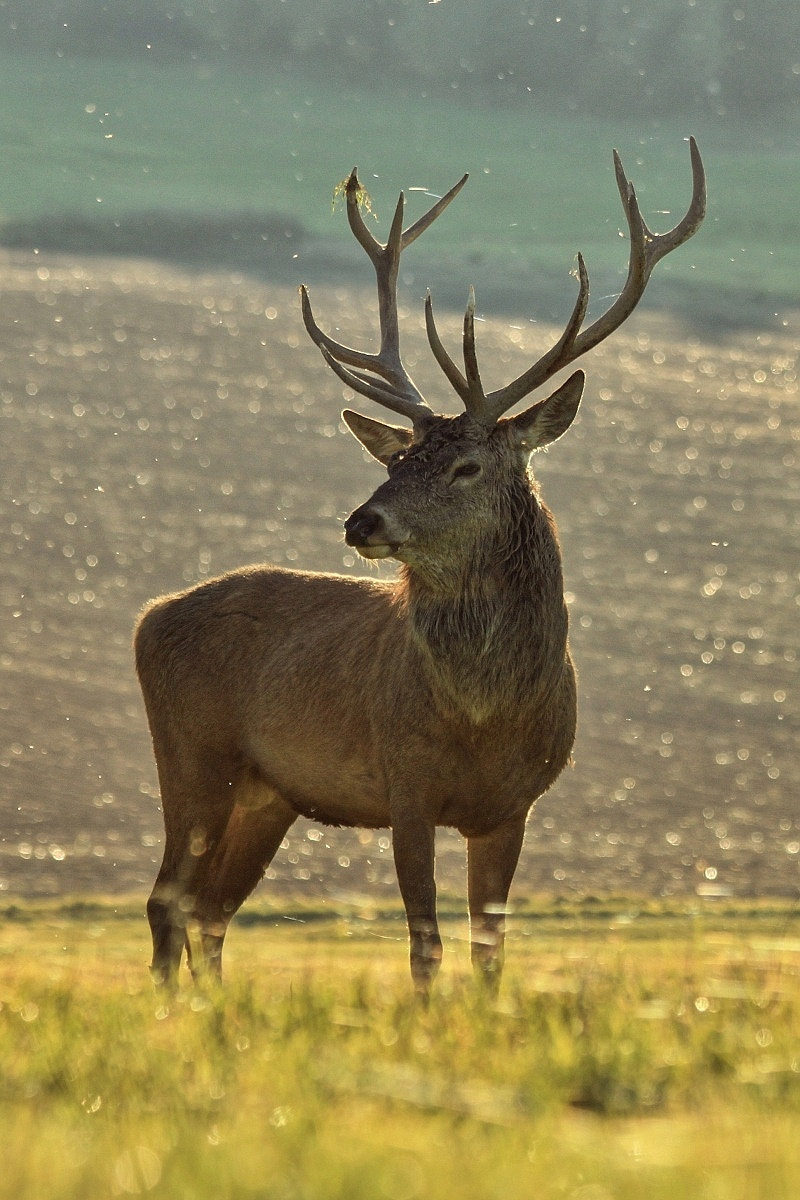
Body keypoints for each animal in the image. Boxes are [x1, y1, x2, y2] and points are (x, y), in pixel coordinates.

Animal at [135, 140, 705, 996]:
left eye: (466, 466)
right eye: (398, 458)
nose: (361, 521)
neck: (485, 718)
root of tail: (150, 615)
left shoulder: (514, 806)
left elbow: (490, 947)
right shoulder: (405, 786)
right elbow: (425, 944)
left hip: (269, 793)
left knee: (211, 909)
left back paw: (211, 1013)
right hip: (193, 753)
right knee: (167, 900)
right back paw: (173, 1015)